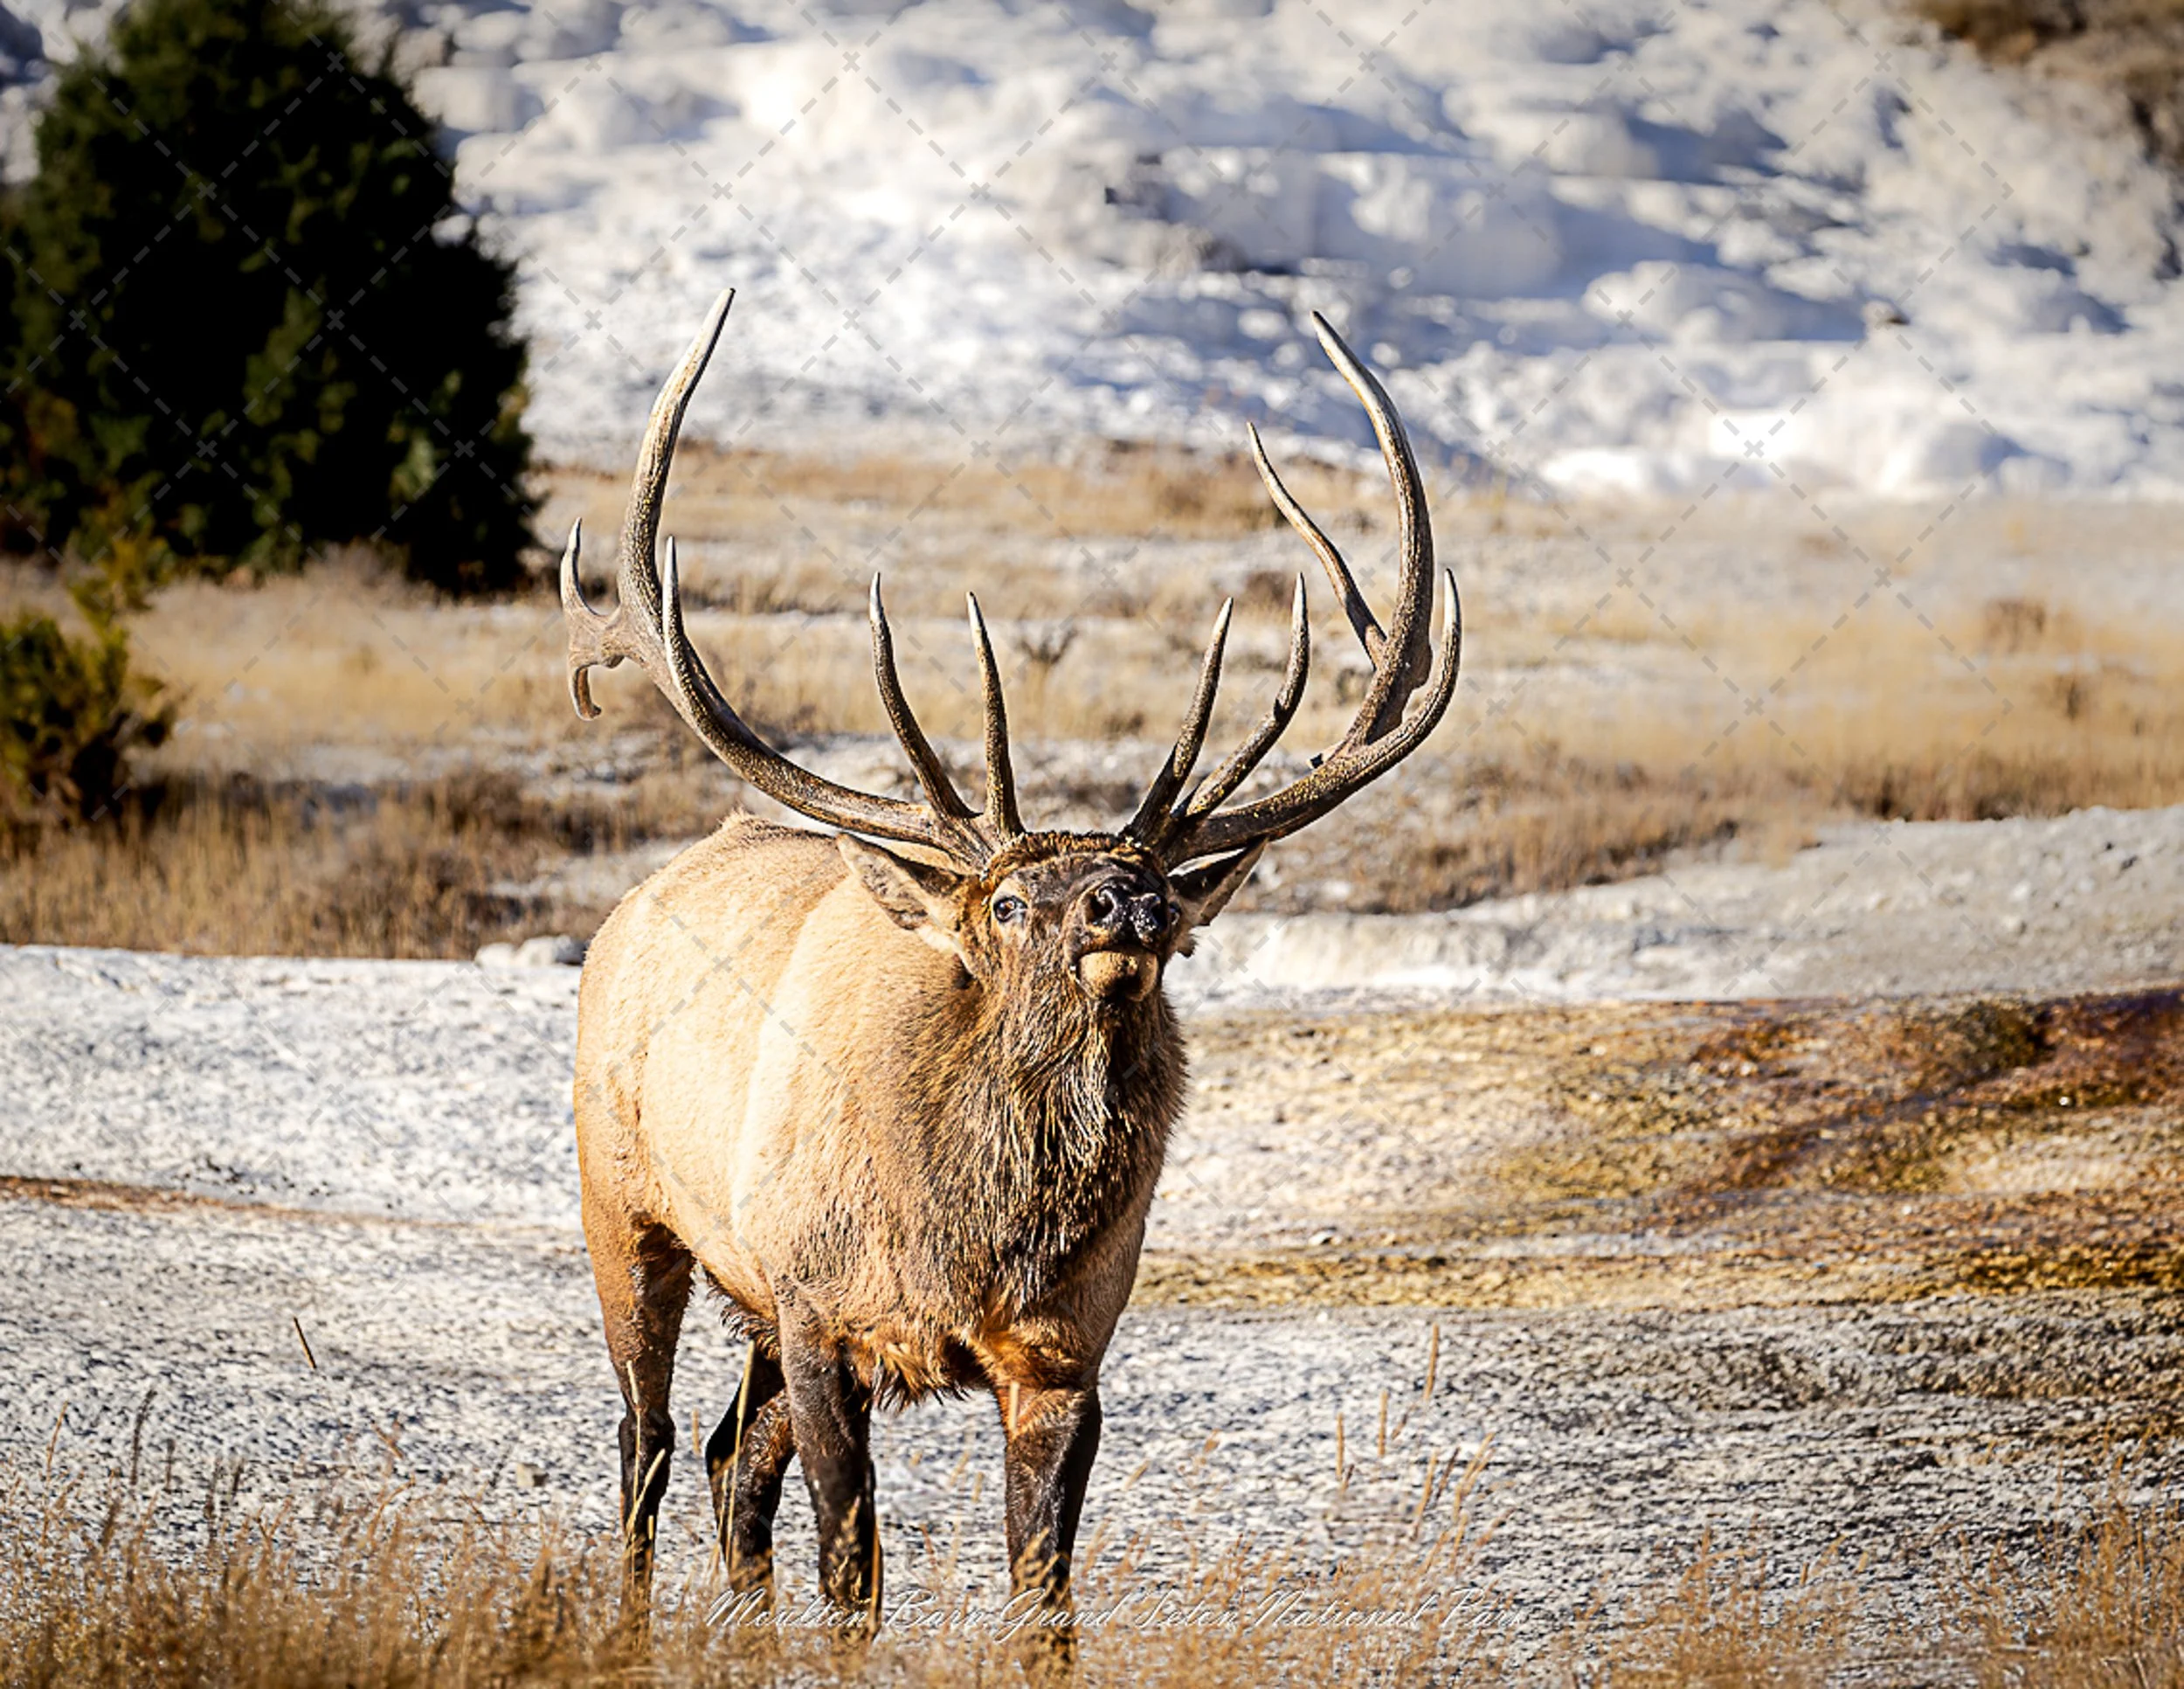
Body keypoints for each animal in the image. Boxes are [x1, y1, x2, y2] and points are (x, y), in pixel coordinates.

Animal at [562, 289, 1459, 1637]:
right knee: (648, 1440)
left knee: (728, 1463)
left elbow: (1044, 1596)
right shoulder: (821, 1309)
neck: (971, 1237)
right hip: (627, 1206)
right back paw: (627, 1622)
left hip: (750, 1292)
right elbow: (853, 1572)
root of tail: (632, 904)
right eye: (1007, 902)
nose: (1123, 901)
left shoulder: (1063, 1351)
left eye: (1164, 899)